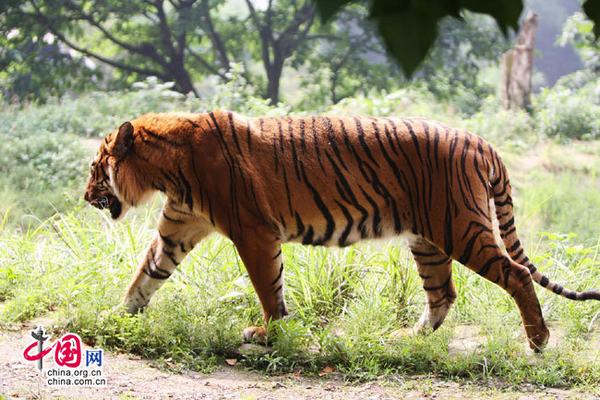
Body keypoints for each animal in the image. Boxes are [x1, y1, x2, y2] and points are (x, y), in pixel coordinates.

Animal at [84, 109, 600, 350]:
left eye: (95, 168)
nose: (85, 196)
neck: (166, 170)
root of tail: (480, 140)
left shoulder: (254, 232)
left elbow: (268, 286)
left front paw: (269, 333)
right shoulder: (178, 227)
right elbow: (146, 275)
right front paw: (113, 317)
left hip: (461, 227)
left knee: (516, 274)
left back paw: (538, 342)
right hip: (429, 239)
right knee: (443, 294)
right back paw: (410, 340)